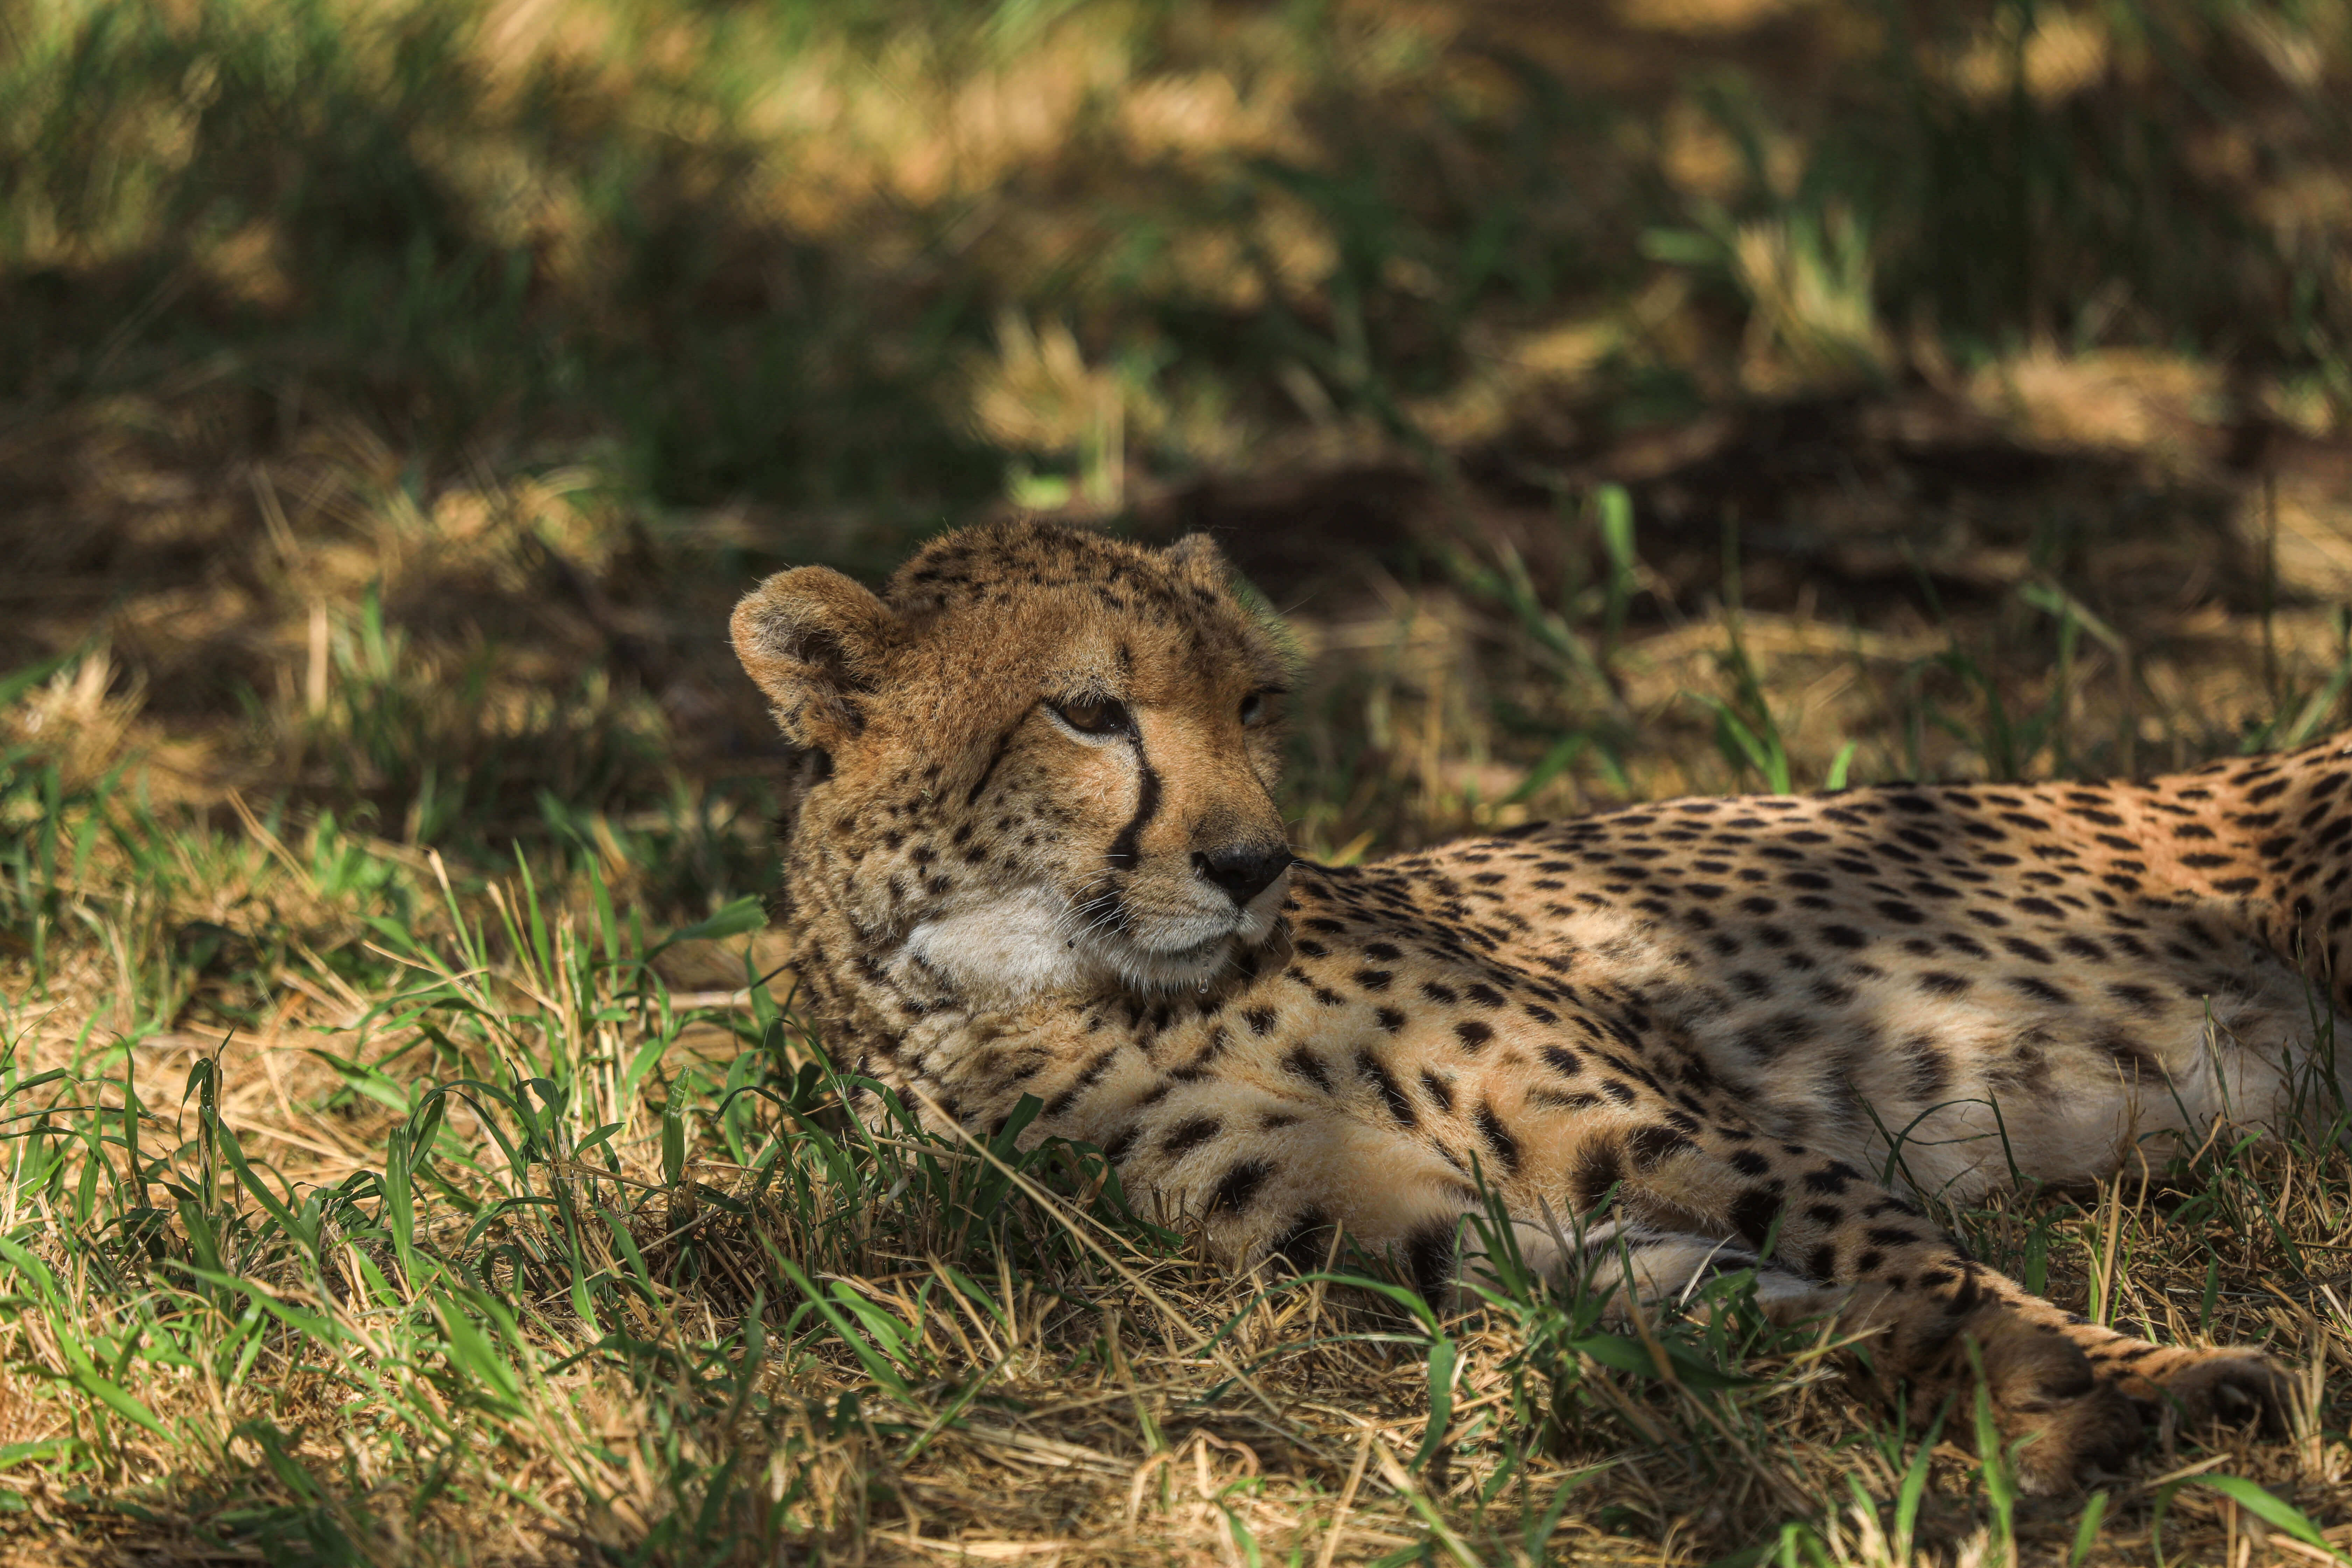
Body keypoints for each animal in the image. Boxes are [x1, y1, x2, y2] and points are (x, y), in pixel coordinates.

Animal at [724, 522, 2305, 1495]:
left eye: (1254, 705)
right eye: (1090, 714)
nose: (1253, 865)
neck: (1041, 984)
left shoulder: (1658, 1120)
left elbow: (1907, 1249)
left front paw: (2141, 1373)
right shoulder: (1411, 1226)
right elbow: (1738, 1298)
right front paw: (2006, 1385)